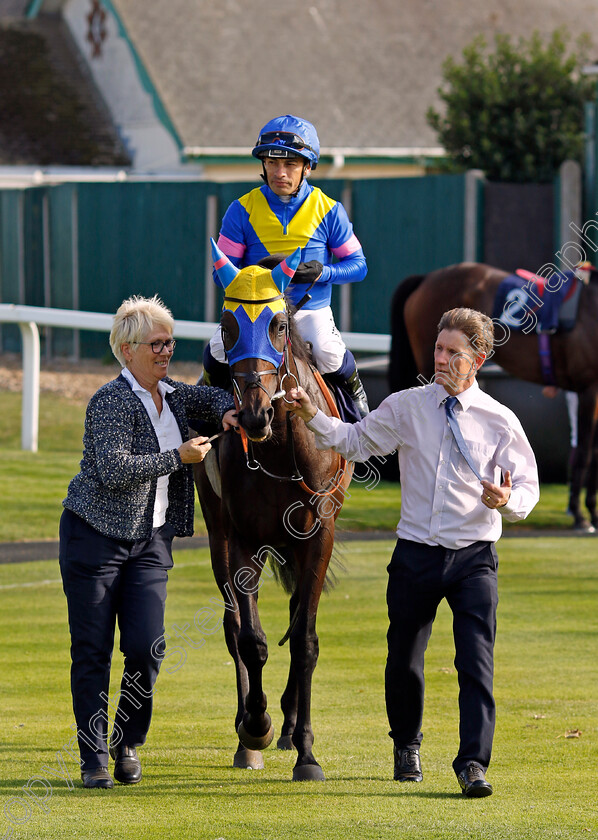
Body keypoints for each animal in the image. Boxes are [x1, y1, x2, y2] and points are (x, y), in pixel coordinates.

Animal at [195, 241, 352, 780]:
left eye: (279, 324)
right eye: (227, 325)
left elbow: (304, 638)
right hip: (221, 533)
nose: (252, 415)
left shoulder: (318, 535)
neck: (279, 448)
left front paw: (305, 749)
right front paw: (255, 726)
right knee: (234, 626)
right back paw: (249, 731)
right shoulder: (242, 537)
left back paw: (286, 725)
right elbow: (251, 640)